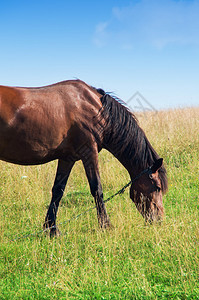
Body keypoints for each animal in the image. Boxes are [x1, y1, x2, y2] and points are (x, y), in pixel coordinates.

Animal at [0, 79, 168, 237]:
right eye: (157, 187)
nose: (159, 220)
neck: (96, 109)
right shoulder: (89, 152)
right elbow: (97, 189)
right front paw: (106, 225)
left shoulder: (67, 158)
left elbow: (58, 191)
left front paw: (52, 229)